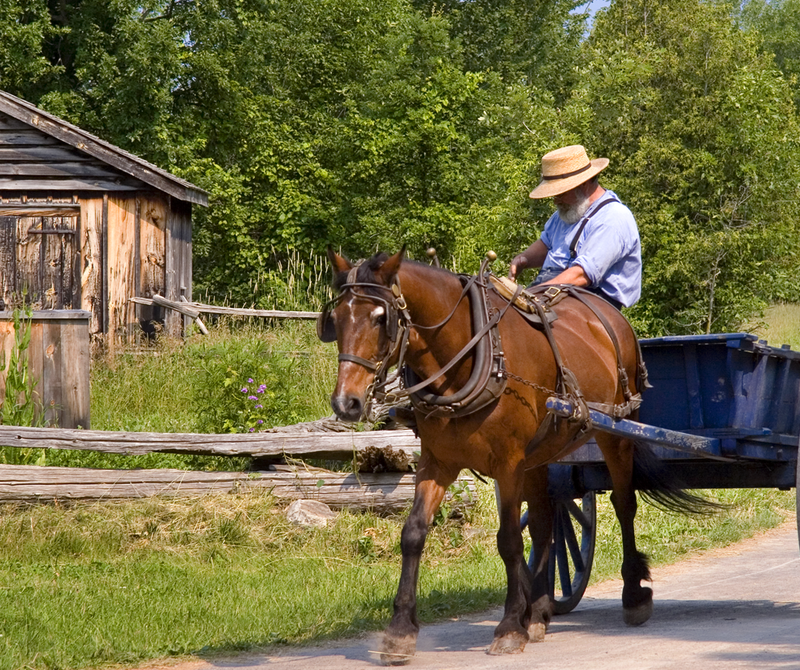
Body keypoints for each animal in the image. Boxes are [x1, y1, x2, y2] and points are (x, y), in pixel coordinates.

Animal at [320, 247, 694, 665]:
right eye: (335, 318)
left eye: (380, 318)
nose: (346, 403)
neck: (468, 360)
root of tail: (614, 321)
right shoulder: (437, 461)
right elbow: (413, 533)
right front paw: (400, 631)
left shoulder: (509, 464)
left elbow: (510, 540)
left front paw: (510, 626)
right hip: (543, 453)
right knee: (548, 521)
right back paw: (541, 610)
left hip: (615, 432)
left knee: (623, 503)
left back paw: (632, 594)